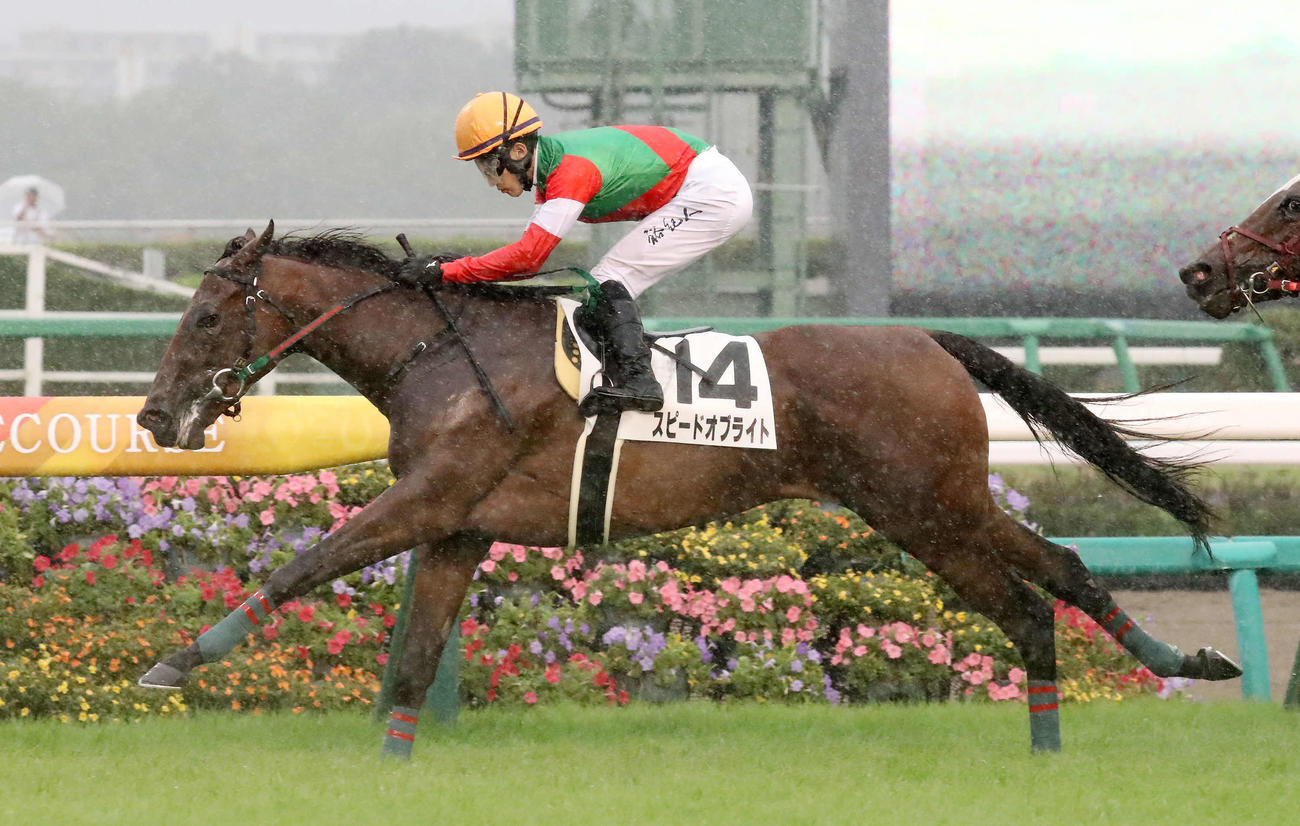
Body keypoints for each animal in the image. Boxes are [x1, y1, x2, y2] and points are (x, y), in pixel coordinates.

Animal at [136, 220, 1241, 757]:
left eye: (204, 317)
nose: (152, 418)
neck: (442, 355)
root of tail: (928, 339)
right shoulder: (456, 526)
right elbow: (411, 660)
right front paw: (390, 766)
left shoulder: (431, 499)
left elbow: (305, 565)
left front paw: (174, 663)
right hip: (930, 506)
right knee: (1054, 577)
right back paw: (1146, 679)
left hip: (928, 506)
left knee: (1031, 593)